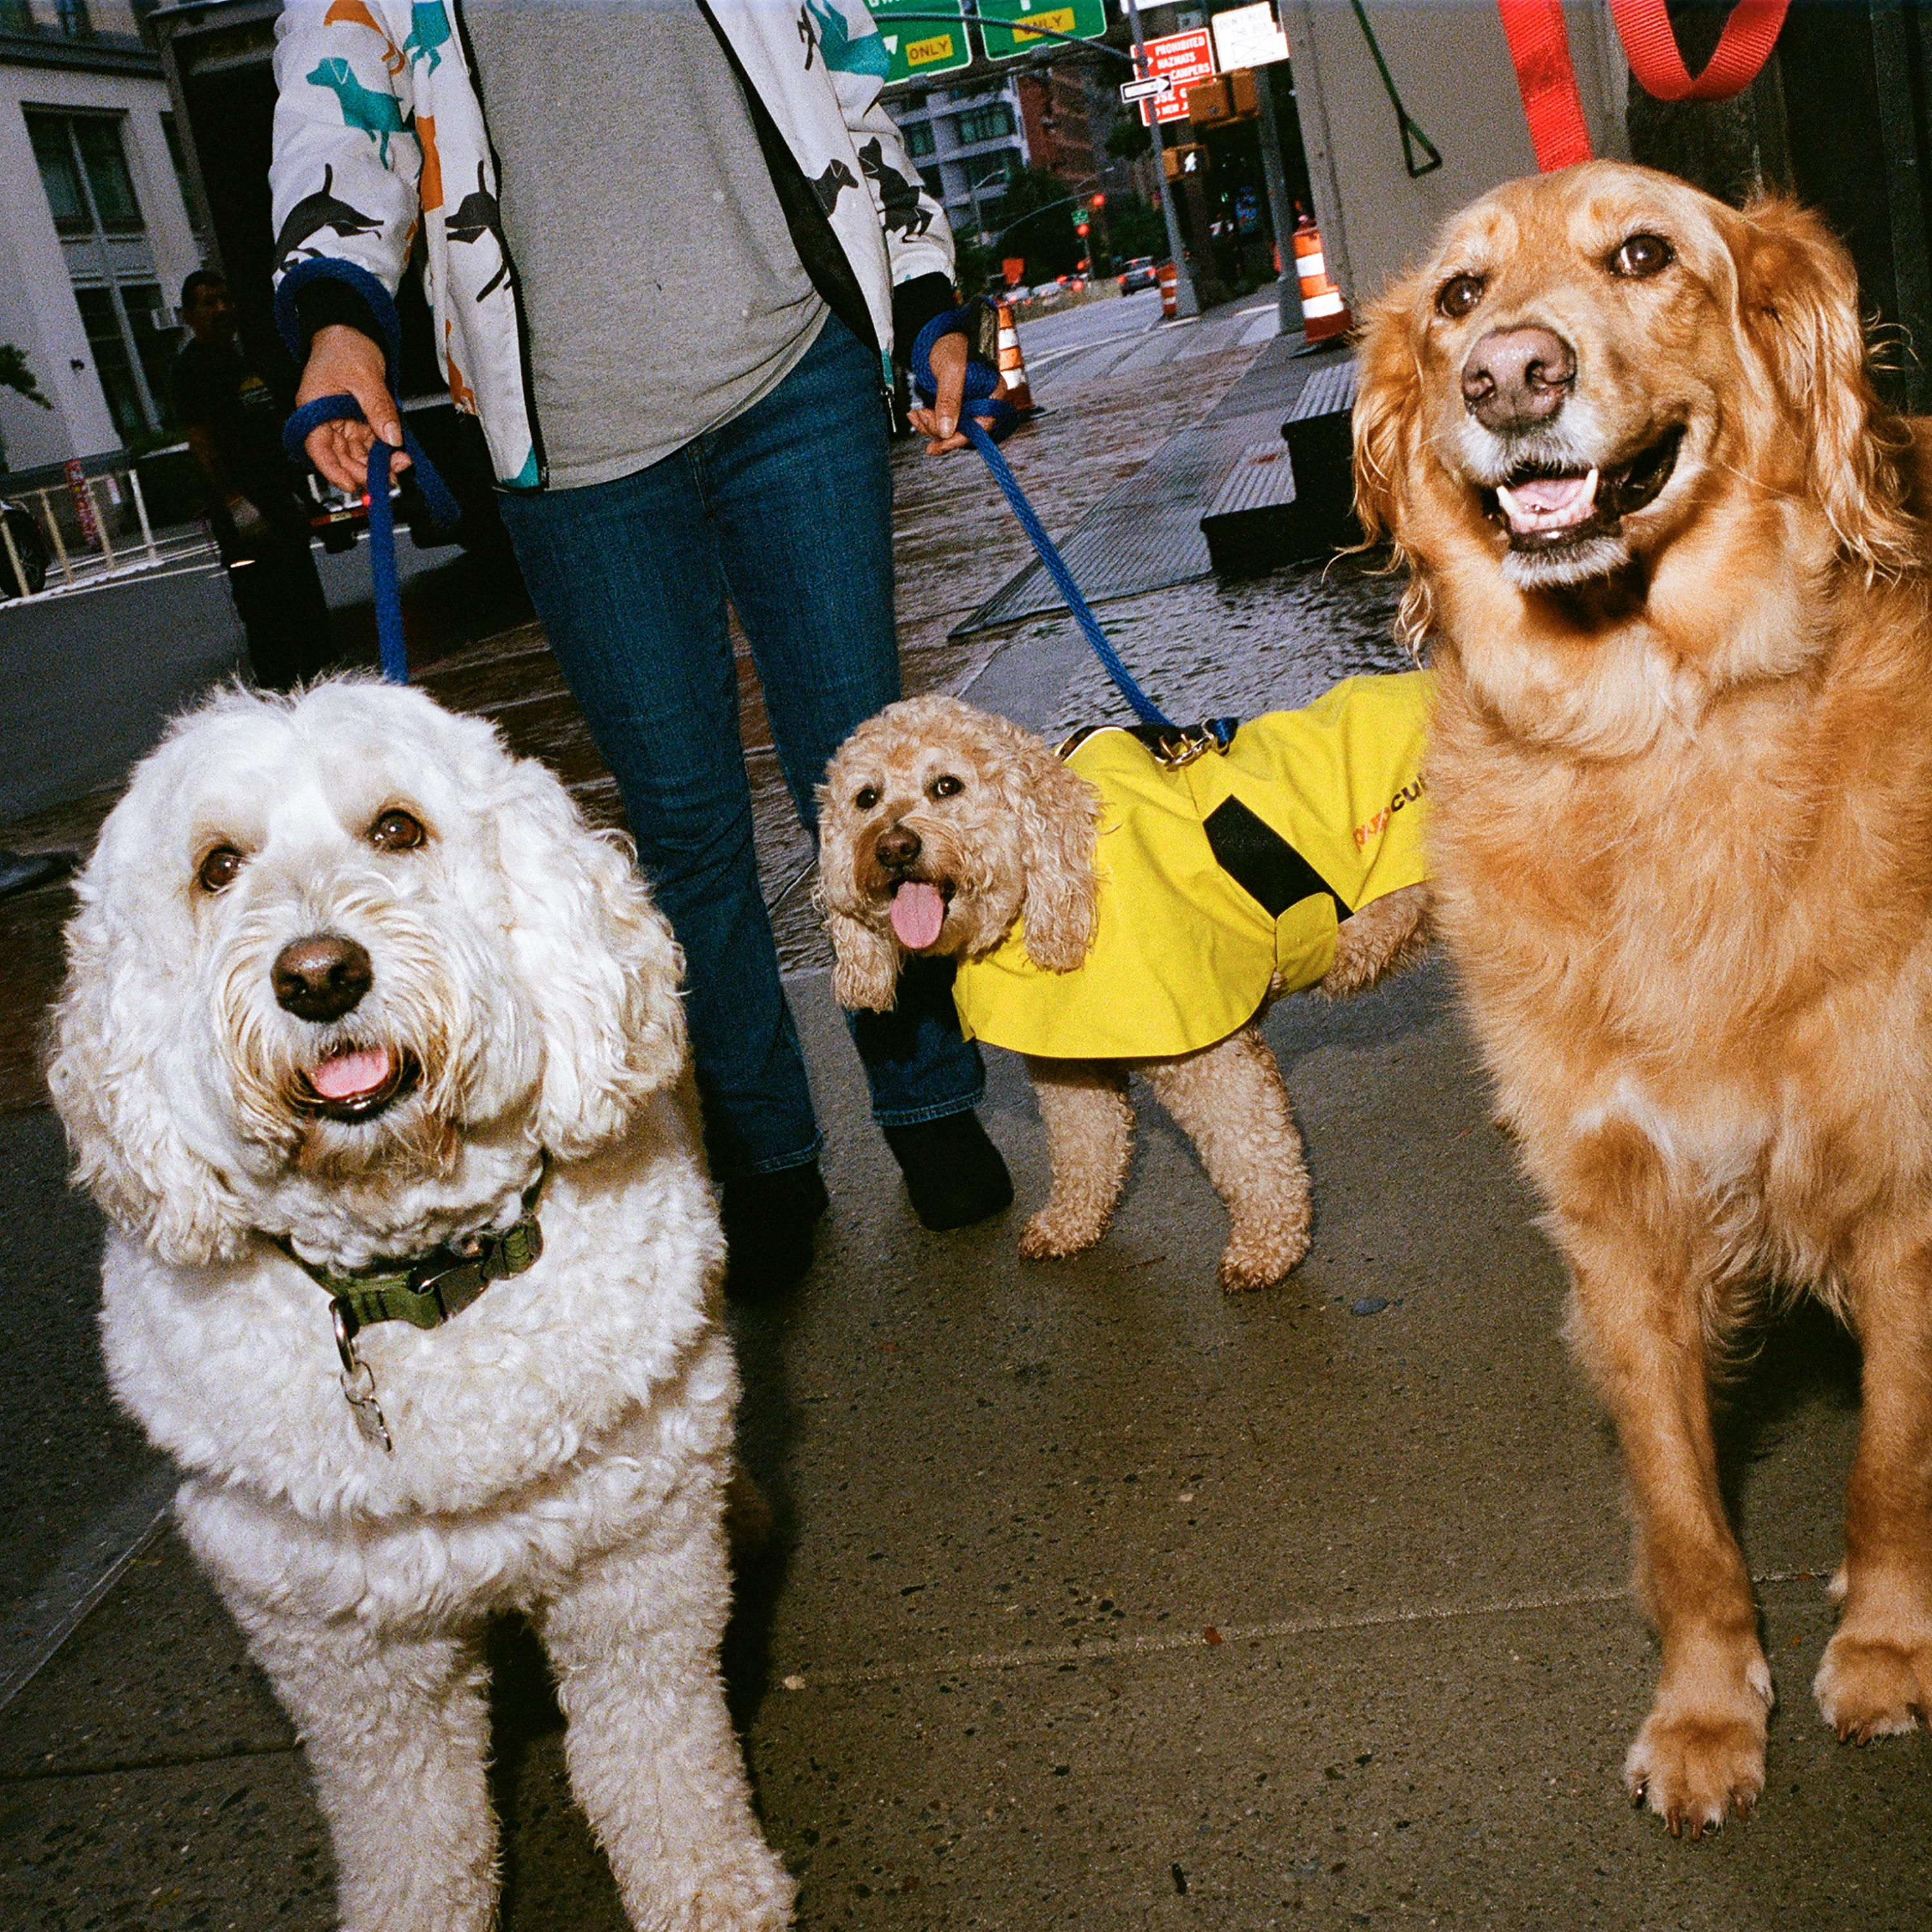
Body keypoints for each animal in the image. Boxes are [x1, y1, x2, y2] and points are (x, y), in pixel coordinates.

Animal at [51, 680, 792, 1932]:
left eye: (397, 829)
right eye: (217, 866)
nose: (317, 975)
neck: (422, 1274)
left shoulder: (630, 1566)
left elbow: (655, 1752)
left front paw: (709, 1887)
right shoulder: (342, 1644)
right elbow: (410, 1821)